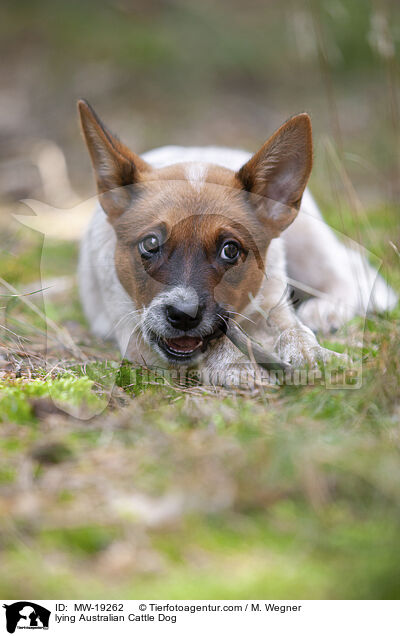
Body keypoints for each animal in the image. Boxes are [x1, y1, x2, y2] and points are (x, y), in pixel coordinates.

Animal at [77, 102, 396, 386]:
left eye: (230, 249)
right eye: (151, 243)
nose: (183, 315)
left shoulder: (274, 300)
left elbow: (294, 329)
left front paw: (312, 352)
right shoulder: (133, 330)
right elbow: (216, 341)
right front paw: (238, 363)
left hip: (308, 242)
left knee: (347, 272)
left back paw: (326, 308)